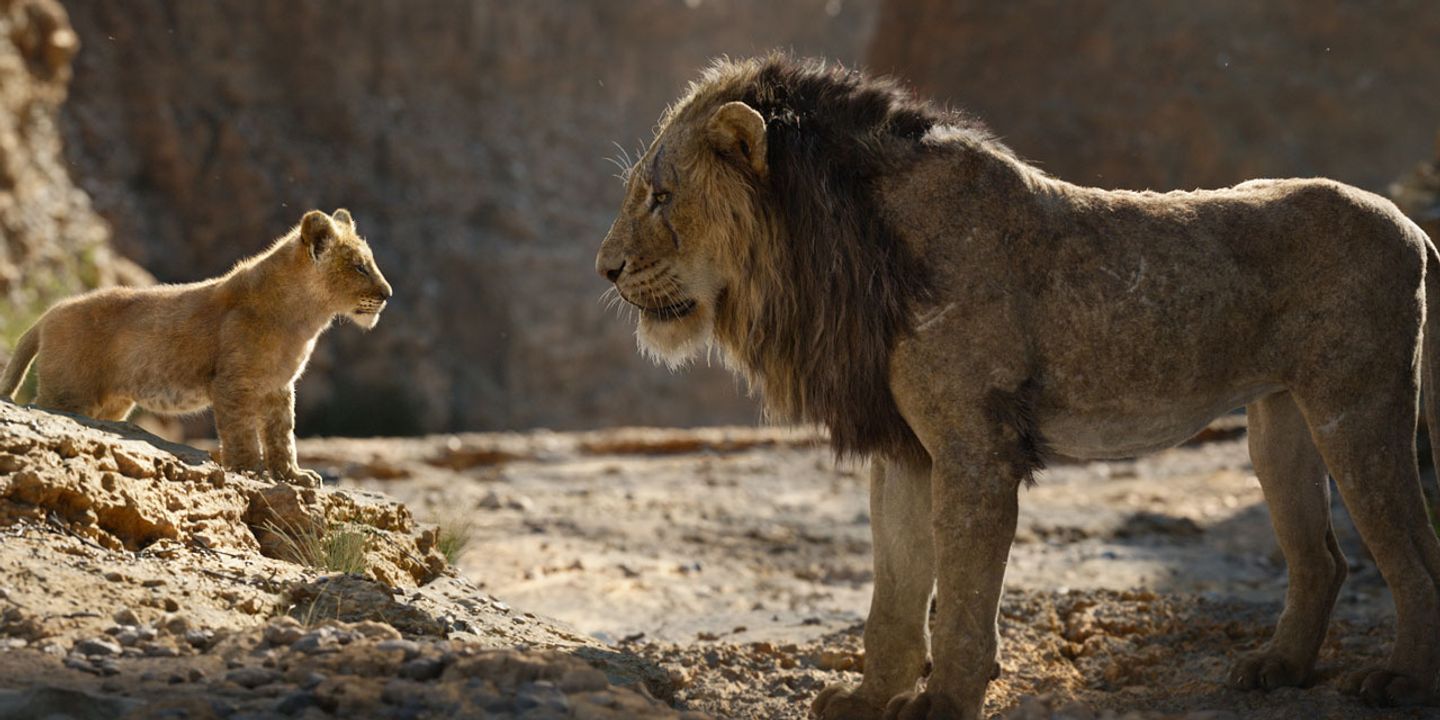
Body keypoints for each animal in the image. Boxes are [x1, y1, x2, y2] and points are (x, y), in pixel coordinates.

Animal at [0, 209, 392, 485]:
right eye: (360, 266)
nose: (388, 294)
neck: (305, 317)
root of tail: (48, 314)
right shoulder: (232, 383)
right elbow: (242, 432)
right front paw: (250, 470)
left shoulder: (279, 387)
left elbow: (282, 434)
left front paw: (293, 476)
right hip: (68, 394)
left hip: (110, 404)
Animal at [597, 55, 1440, 718]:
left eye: (661, 197)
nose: (605, 269)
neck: (838, 249)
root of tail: (1410, 222)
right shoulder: (906, 449)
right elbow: (894, 590)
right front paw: (870, 698)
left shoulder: (975, 448)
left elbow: (965, 593)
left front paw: (943, 701)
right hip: (1280, 421)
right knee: (1323, 559)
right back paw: (1278, 669)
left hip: (1358, 406)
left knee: (1414, 553)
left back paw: (1399, 678)